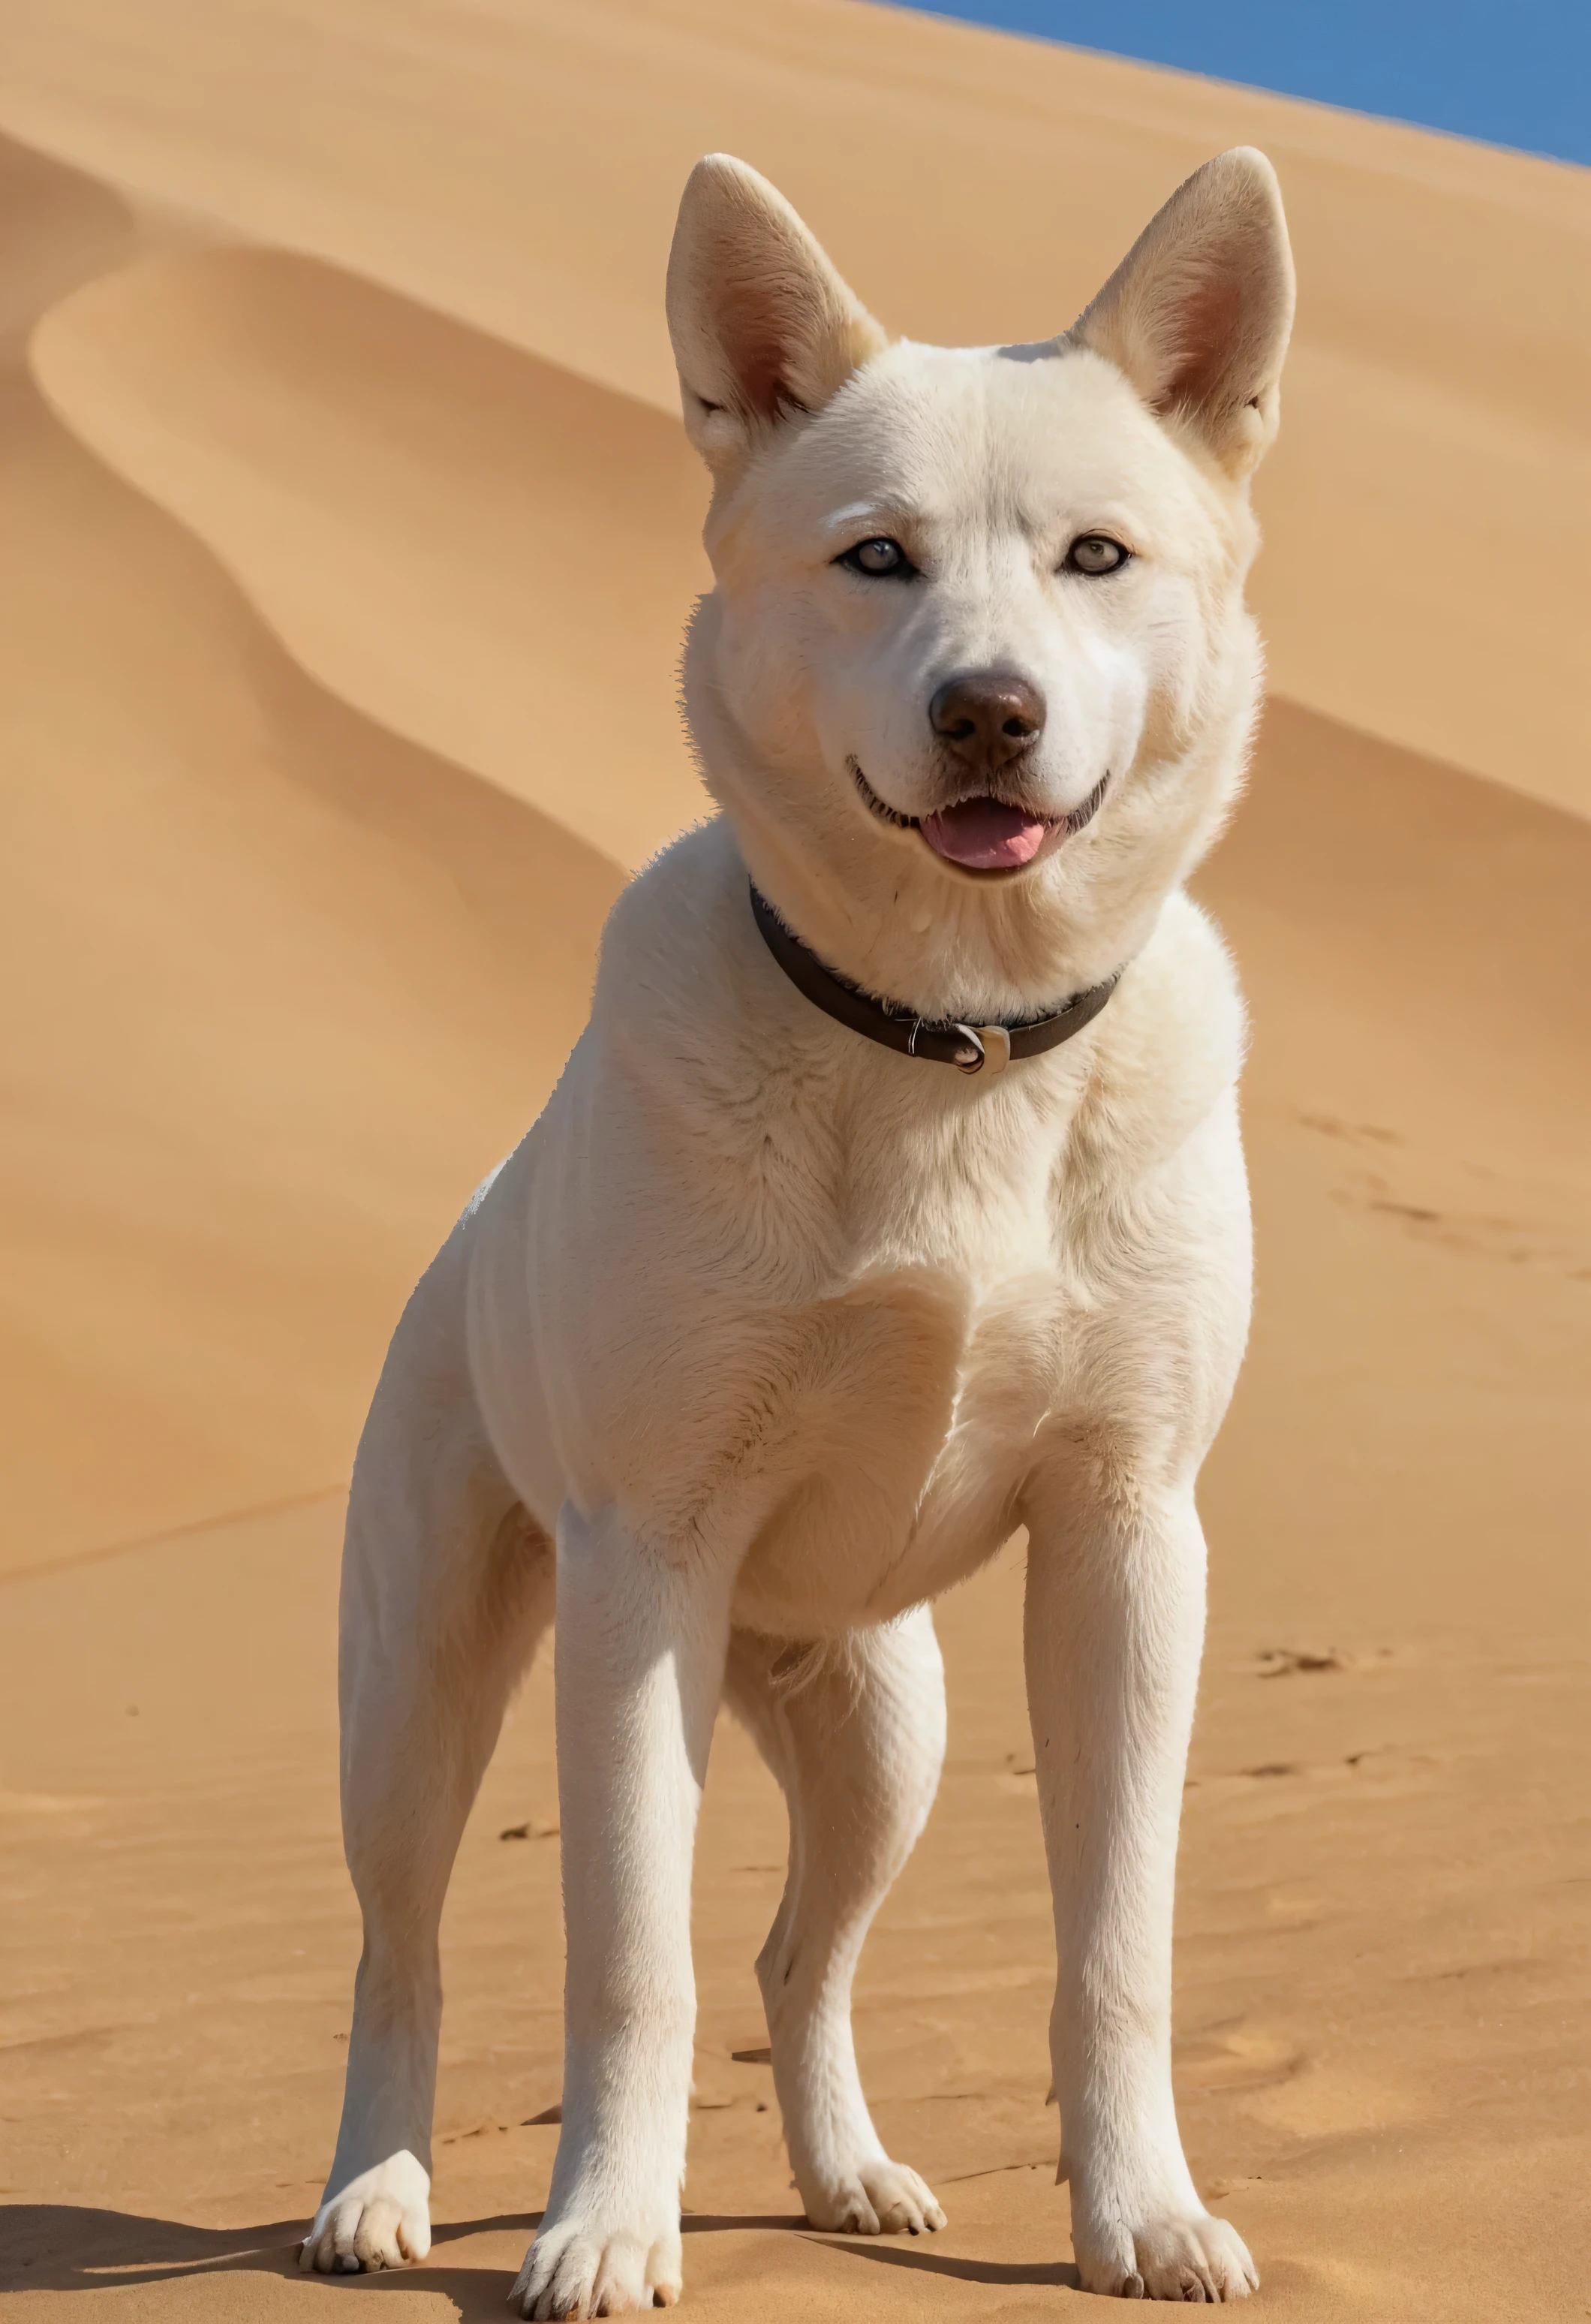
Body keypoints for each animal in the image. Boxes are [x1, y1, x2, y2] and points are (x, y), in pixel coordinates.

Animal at [297, 145, 1291, 2305]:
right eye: (876, 560)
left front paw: (1142, 2216)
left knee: (795, 1953)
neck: (954, 1045)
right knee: (403, 1950)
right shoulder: (642, 1571)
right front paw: (603, 2227)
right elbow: (627, 1967)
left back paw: (850, 2179)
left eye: (1097, 557)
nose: (990, 714)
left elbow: (1119, 1948)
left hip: (878, 1721)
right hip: (424, 1677)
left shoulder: (1129, 1544)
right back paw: (375, 2193)